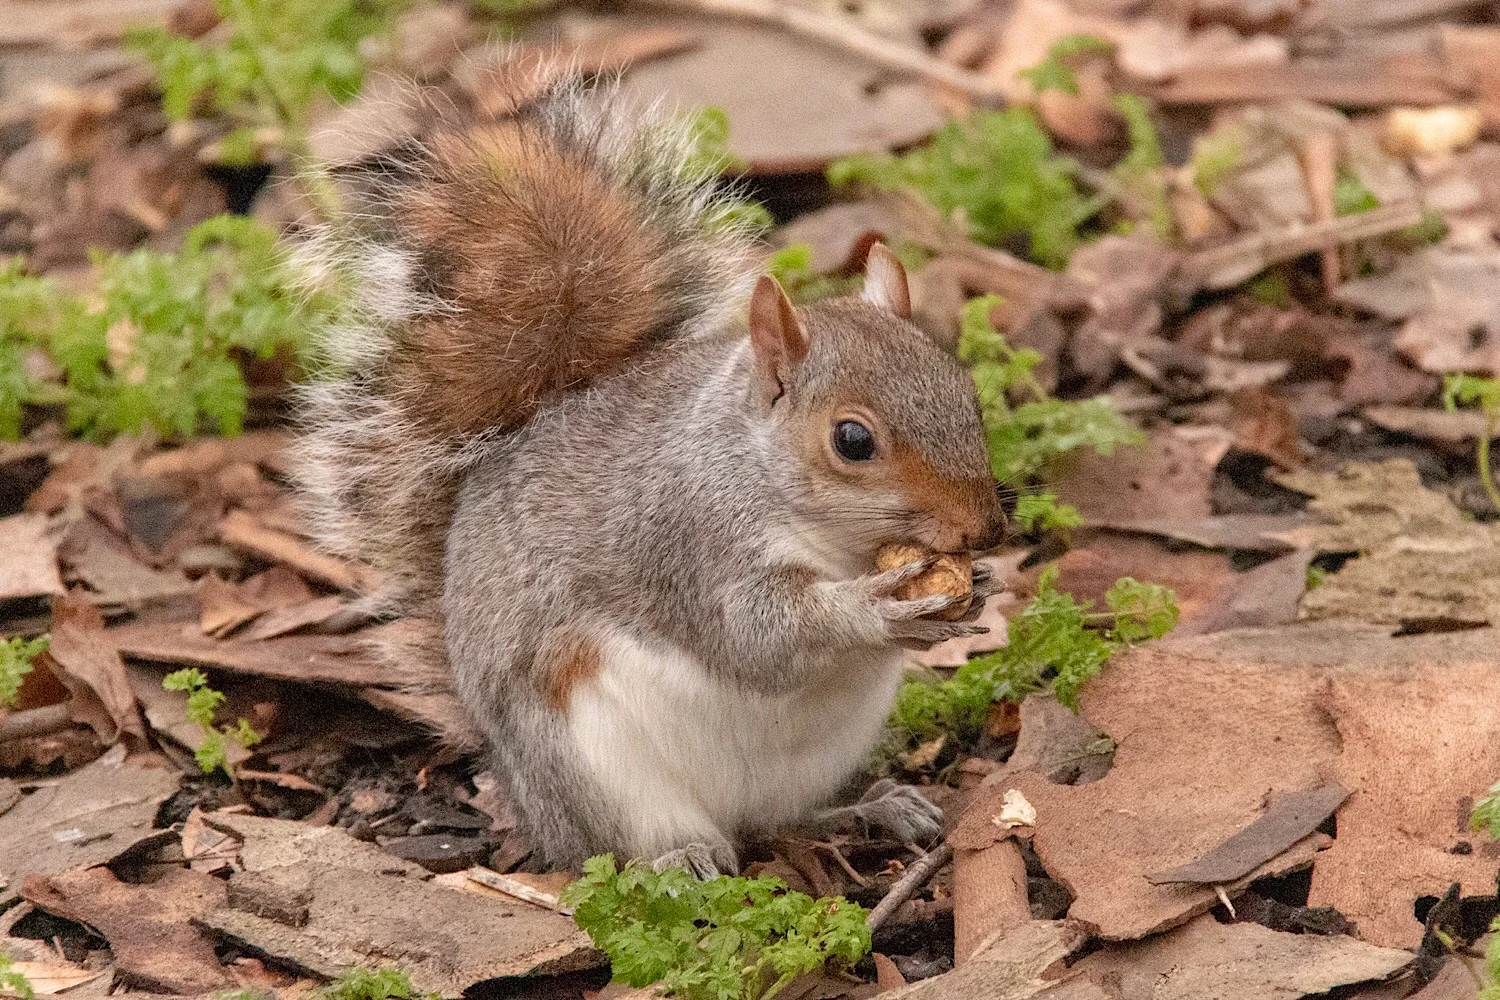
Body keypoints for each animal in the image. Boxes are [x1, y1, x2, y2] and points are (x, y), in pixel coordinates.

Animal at [292, 67, 1010, 876]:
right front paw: (873, 607)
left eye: (966, 392)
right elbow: (756, 636)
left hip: (817, 756)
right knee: (623, 848)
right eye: (853, 440)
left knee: (784, 818)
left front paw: (978, 586)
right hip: (595, 765)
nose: (986, 530)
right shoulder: (688, 540)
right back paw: (683, 860)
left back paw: (872, 808)